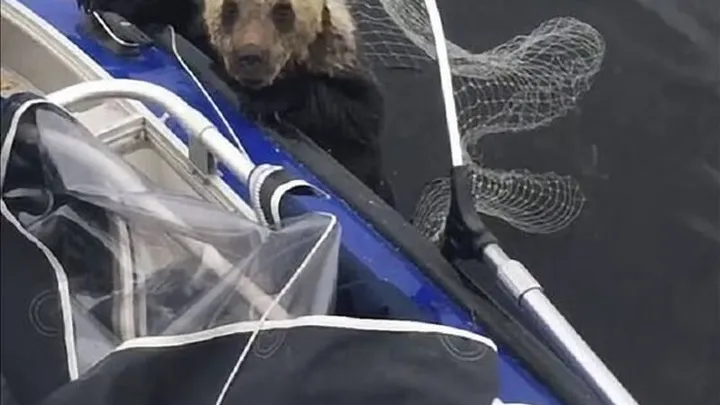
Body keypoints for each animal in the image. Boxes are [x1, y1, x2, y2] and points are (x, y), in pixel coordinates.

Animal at [78, 0, 395, 206]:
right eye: (229, 8)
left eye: (283, 11)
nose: (250, 56)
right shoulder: (196, 28)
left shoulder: (342, 68)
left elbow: (355, 120)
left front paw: (269, 98)